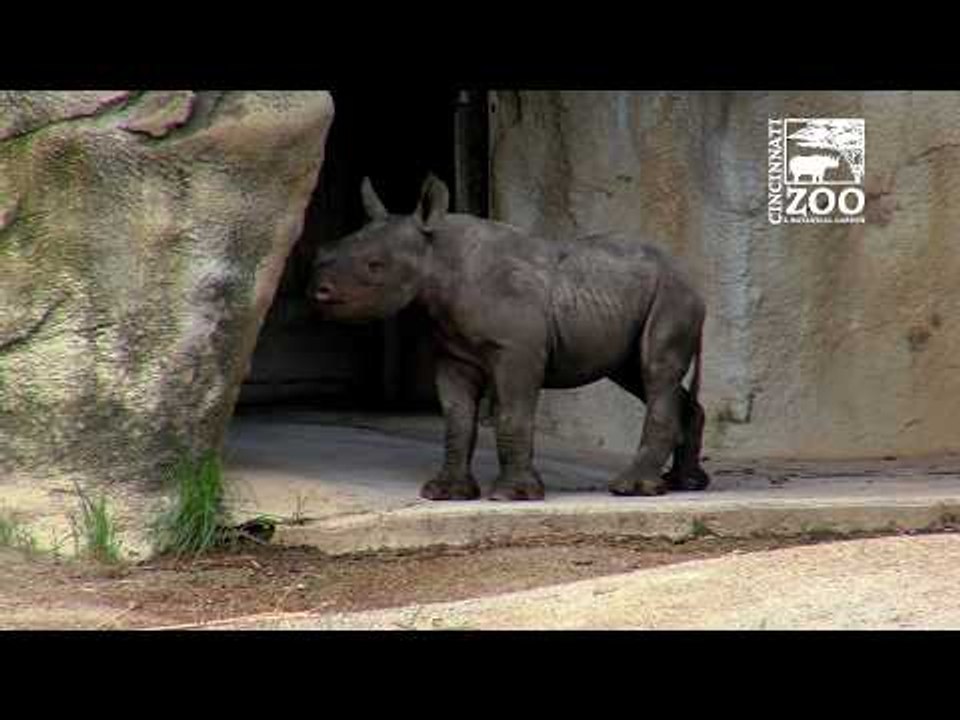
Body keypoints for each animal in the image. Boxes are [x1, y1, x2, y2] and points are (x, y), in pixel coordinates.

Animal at [309, 174, 710, 501]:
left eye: (375, 266)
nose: (319, 291)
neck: (436, 253)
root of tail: (690, 274)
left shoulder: (517, 350)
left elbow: (512, 415)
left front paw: (512, 495)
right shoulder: (454, 353)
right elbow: (457, 419)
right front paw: (445, 493)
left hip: (671, 294)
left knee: (654, 368)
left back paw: (632, 489)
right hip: (633, 294)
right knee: (636, 372)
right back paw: (684, 484)